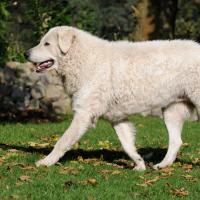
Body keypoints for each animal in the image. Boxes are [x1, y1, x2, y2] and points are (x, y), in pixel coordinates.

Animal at [24, 25, 198, 170]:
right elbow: (127, 145)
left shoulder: (83, 114)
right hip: (171, 112)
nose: (25, 54)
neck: (84, 58)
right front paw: (140, 165)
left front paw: (45, 162)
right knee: (176, 141)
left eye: (47, 44)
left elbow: (62, 141)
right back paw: (162, 165)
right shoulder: (117, 118)